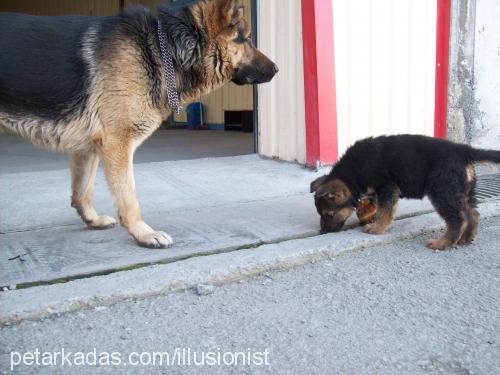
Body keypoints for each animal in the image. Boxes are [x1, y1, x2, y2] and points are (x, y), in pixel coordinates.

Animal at [0, 0, 278, 250]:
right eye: (245, 39)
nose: (276, 68)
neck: (162, 48)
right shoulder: (117, 144)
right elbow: (129, 197)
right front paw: (143, 233)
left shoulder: (87, 148)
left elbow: (82, 191)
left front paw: (92, 220)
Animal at [310, 134, 498, 251]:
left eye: (329, 213)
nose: (323, 232)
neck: (353, 173)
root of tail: (464, 150)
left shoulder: (387, 188)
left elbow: (384, 212)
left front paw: (377, 229)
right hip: (462, 192)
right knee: (473, 214)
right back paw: (466, 238)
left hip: (442, 190)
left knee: (458, 219)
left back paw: (442, 243)